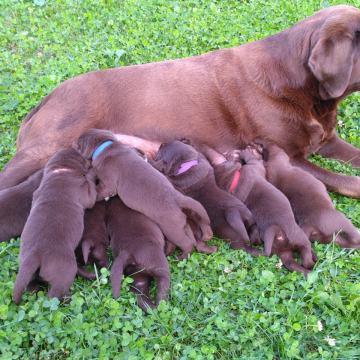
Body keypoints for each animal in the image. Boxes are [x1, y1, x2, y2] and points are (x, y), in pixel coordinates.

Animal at [12, 148, 97, 302]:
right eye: (80, 155)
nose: (90, 159)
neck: (60, 170)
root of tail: (35, 255)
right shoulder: (85, 193)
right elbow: (90, 186)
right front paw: (92, 171)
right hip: (65, 270)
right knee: (54, 295)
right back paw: (68, 298)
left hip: (29, 271)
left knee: (31, 285)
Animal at [74, 129, 212, 258]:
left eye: (79, 141)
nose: (72, 143)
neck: (106, 147)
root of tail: (179, 199)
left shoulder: (109, 183)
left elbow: (100, 192)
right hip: (181, 224)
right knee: (189, 238)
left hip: (172, 229)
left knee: (187, 244)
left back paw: (180, 256)